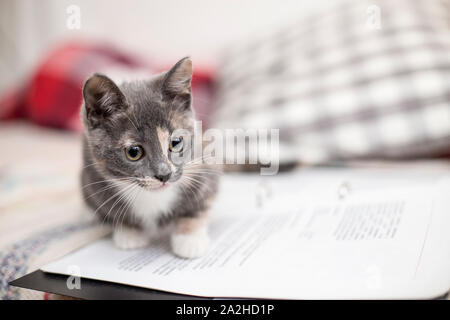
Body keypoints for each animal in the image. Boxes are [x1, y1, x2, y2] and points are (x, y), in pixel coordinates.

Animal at [80, 57, 218, 258]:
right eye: (134, 152)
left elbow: (199, 206)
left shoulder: (204, 164)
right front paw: (129, 231)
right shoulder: (94, 179)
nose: (164, 174)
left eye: (176, 142)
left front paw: (189, 239)